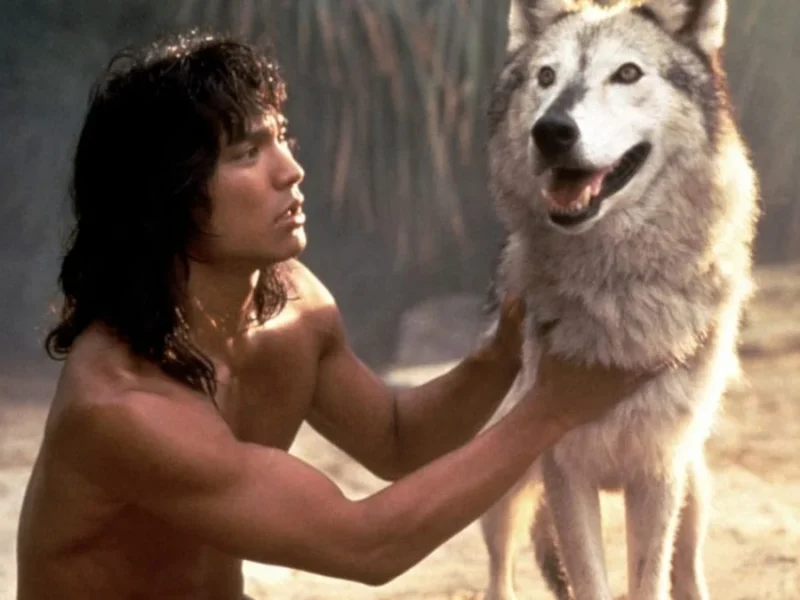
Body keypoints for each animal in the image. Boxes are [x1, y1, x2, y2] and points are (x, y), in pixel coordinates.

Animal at [477, 1, 759, 599]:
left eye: (627, 72)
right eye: (546, 76)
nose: (551, 131)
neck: (617, 290)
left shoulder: (658, 470)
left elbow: (648, 580)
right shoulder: (563, 466)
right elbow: (589, 580)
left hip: (694, 488)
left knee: (688, 570)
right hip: (501, 490)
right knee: (499, 574)